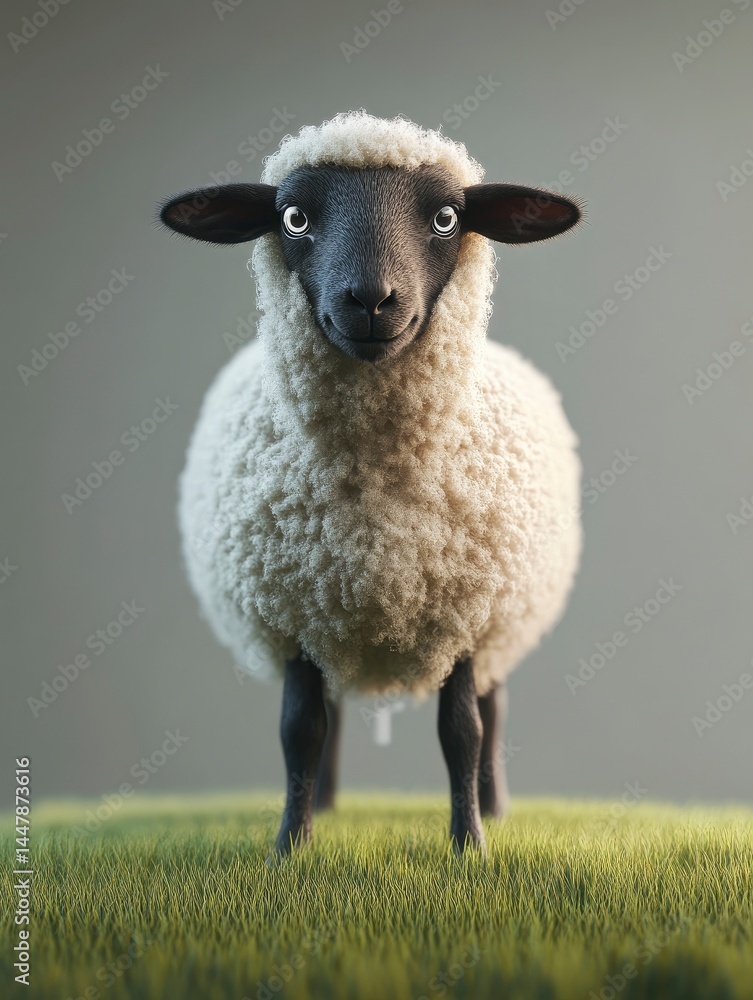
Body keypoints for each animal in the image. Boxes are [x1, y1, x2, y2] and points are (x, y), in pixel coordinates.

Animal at [159, 111, 583, 854]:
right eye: (294, 217)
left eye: (446, 217)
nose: (370, 300)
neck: (376, 488)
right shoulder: (295, 616)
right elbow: (299, 731)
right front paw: (290, 847)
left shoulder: (463, 615)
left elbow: (462, 732)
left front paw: (469, 845)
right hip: (334, 614)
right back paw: (326, 807)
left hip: (501, 622)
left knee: (494, 711)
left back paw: (495, 806)